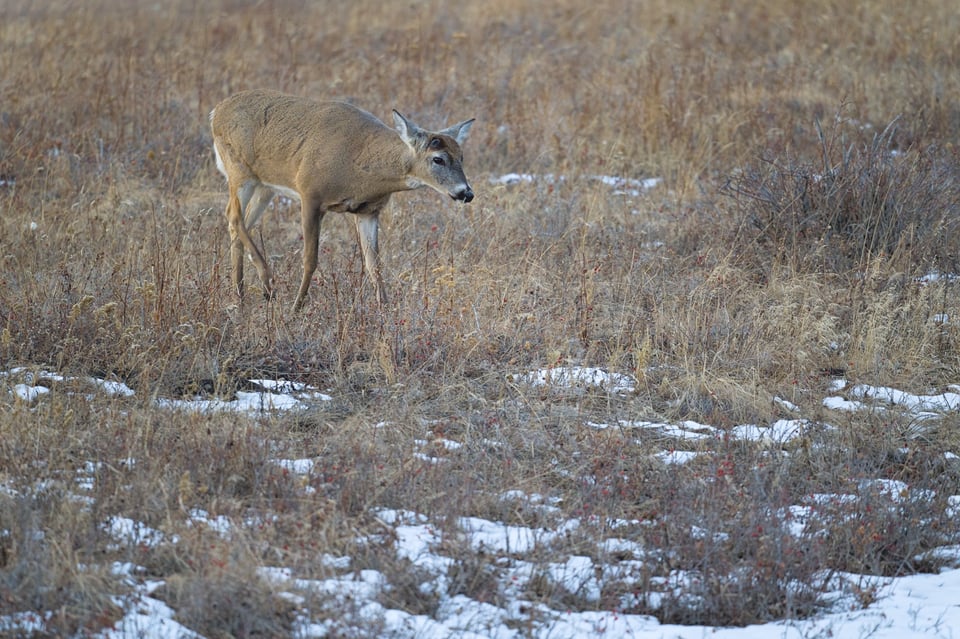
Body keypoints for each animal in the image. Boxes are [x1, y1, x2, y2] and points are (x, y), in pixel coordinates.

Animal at [209, 87, 472, 312]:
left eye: (461, 156)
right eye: (438, 159)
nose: (466, 193)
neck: (359, 164)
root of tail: (216, 112)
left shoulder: (368, 211)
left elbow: (374, 264)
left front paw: (385, 310)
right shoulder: (310, 194)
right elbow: (310, 259)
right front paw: (296, 307)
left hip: (265, 186)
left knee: (239, 222)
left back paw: (240, 295)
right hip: (239, 169)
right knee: (233, 216)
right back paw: (267, 284)